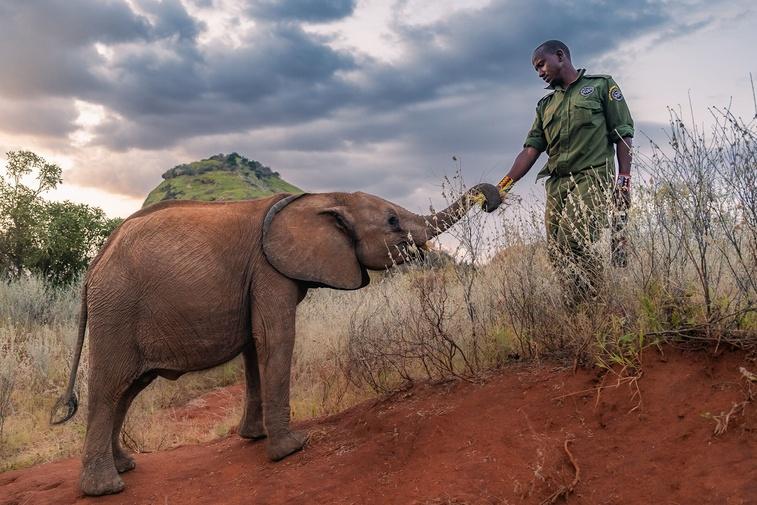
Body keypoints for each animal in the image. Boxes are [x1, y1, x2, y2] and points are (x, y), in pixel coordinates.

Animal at [50, 183, 501, 496]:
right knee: (110, 387)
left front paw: (255, 438)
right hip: (117, 309)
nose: (491, 199)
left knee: (128, 390)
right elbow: (276, 337)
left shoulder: (258, 278)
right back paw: (105, 488)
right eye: (392, 222)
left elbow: (256, 346)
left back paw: (124, 466)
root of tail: (92, 268)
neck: (325, 196)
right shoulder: (270, 270)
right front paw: (292, 448)